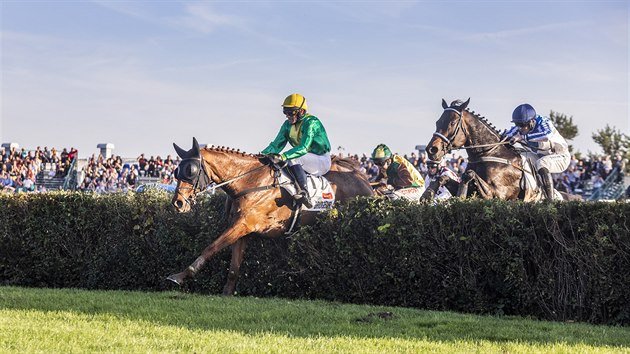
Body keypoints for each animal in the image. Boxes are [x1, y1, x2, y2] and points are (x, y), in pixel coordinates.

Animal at [168, 137, 376, 294]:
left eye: (191, 171)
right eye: (177, 171)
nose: (178, 203)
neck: (249, 181)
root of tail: (365, 182)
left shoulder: (243, 225)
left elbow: (210, 248)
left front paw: (180, 276)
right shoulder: (241, 229)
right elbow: (235, 265)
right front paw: (227, 292)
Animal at [428, 98, 580, 201]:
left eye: (452, 123)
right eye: (437, 122)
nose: (432, 150)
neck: (490, 153)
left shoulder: (498, 194)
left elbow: (469, 174)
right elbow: (443, 178)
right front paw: (427, 195)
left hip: (561, 160)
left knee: (543, 167)